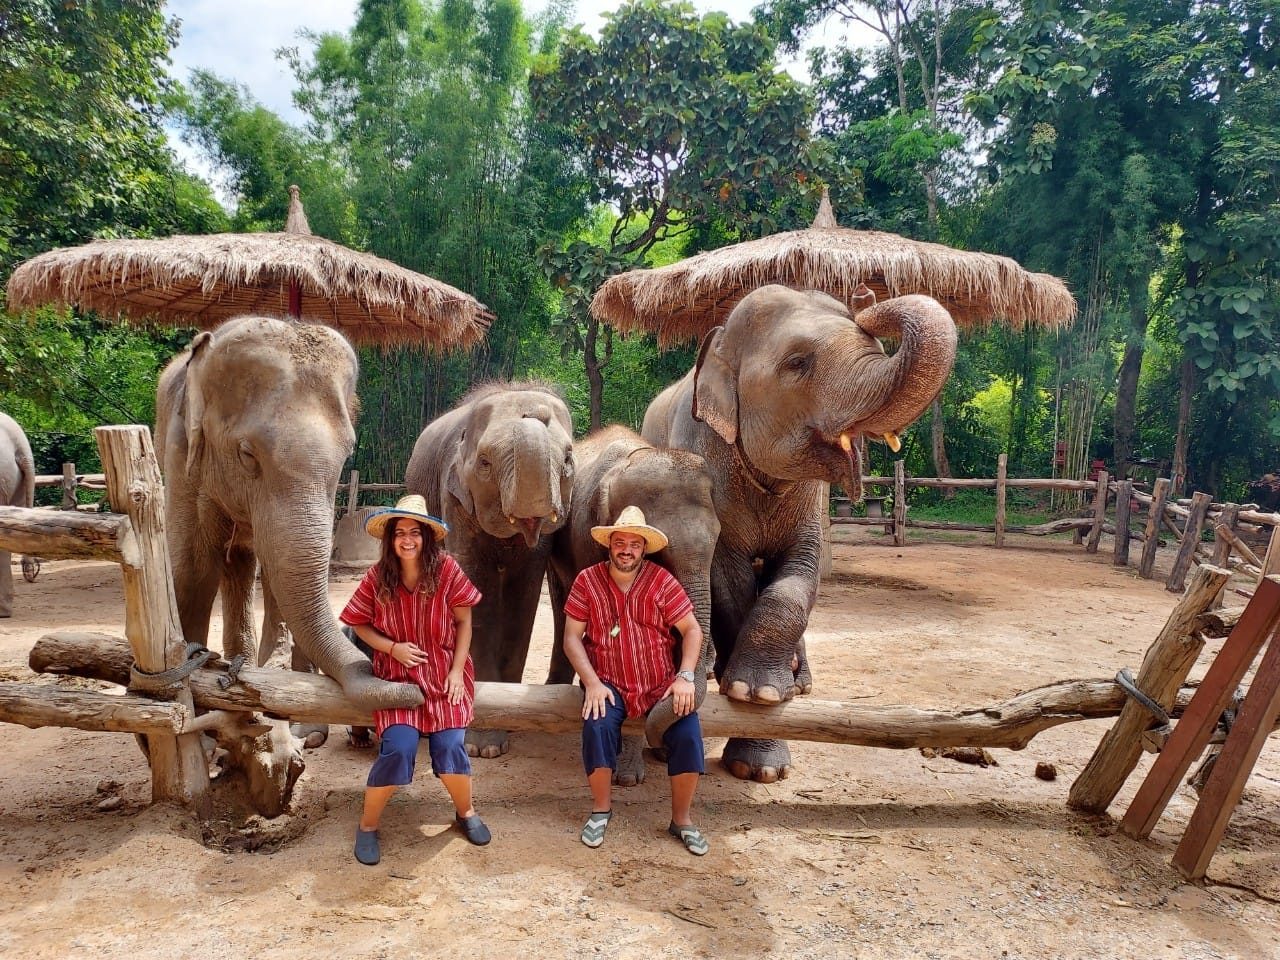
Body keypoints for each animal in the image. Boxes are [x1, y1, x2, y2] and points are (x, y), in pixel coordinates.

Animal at [155, 316, 422, 715]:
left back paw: (250, 663)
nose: (414, 689)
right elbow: (192, 567)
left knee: (248, 561)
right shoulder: (182, 451)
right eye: (247, 454)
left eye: (349, 453)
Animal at [405, 381, 574, 757]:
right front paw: (481, 747)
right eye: (484, 463)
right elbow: (476, 588)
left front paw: (506, 720)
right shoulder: (454, 498)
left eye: (569, 460)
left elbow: (522, 593)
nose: (535, 410)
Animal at [642, 285, 957, 782]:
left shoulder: (808, 500)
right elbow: (729, 578)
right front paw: (751, 699)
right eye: (797, 363)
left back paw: (800, 680)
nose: (865, 296)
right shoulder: (706, 464)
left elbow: (799, 575)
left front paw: (765, 723)